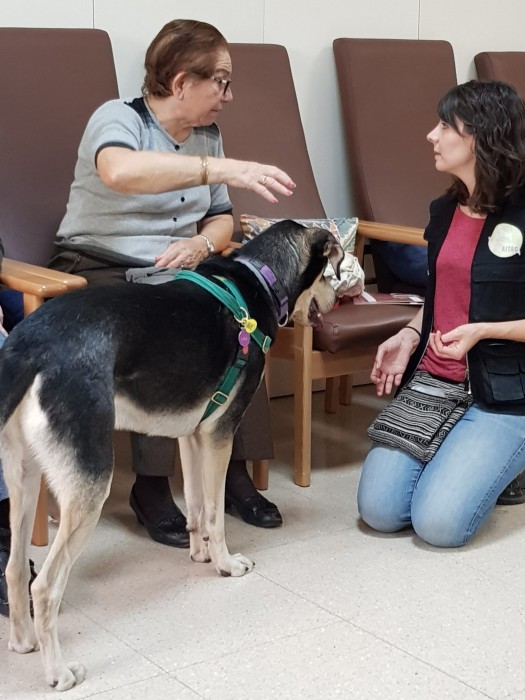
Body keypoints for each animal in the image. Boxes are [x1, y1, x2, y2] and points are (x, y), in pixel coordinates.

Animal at [0, 220, 343, 690]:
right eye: (330, 272)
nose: (338, 300)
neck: (259, 277)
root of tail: (28, 345)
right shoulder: (220, 433)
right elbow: (216, 514)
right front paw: (225, 564)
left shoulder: (192, 434)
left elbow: (197, 506)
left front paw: (198, 553)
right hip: (89, 485)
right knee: (45, 586)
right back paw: (58, 673)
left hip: (24, 477)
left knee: (15, 569)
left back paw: (22, 643)